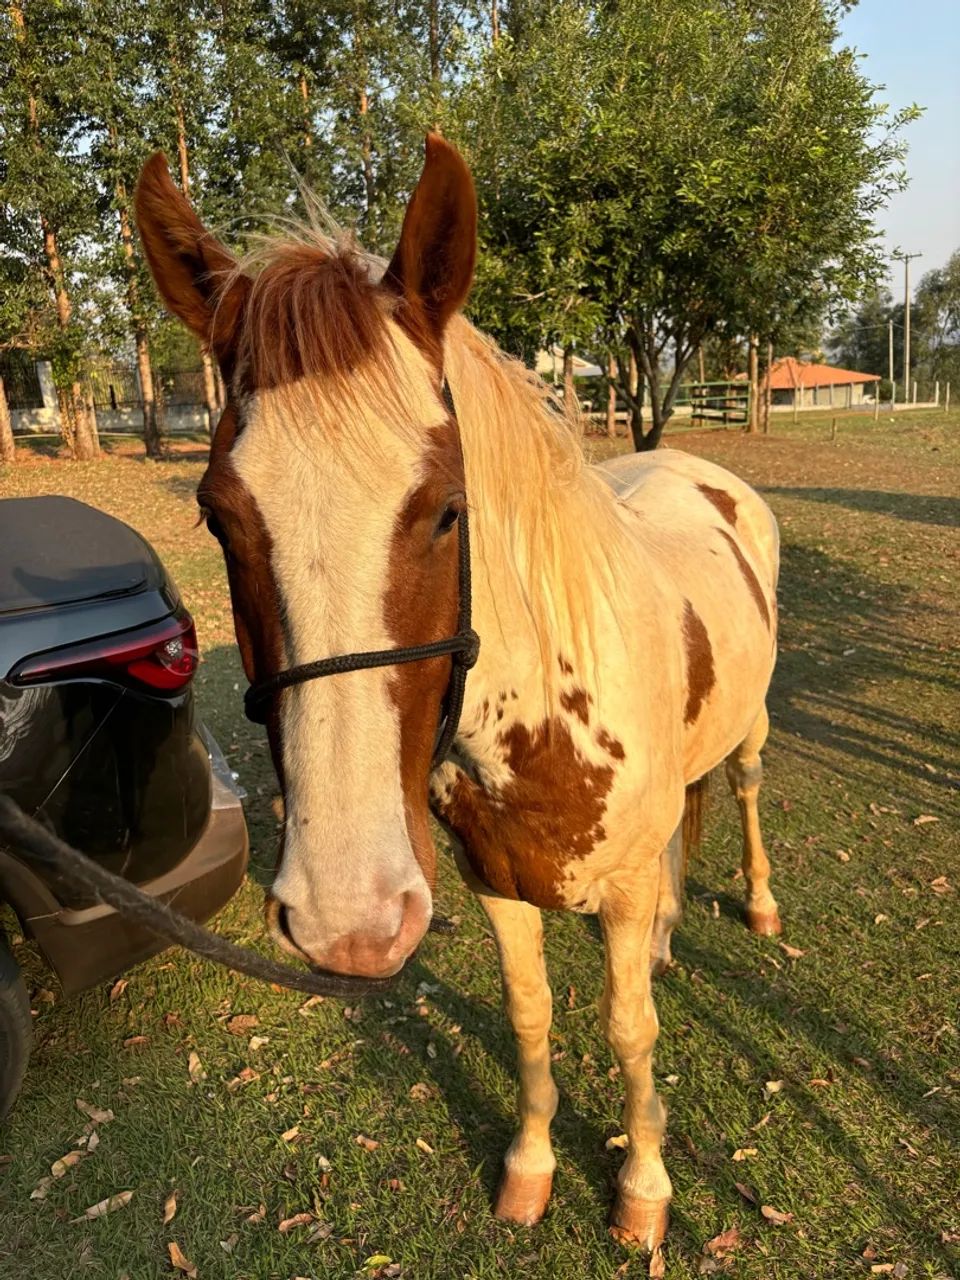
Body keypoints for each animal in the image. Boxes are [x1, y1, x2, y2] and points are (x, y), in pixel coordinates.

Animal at [134, 134, 781, 1252]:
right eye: (218, 515)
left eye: (446, 509)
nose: (347, 920)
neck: (552, 720)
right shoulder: (496, 886)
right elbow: (531, 1017)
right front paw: (530, 1167)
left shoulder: (610, 897)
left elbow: (628, 1029)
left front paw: (644, 1187)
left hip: (751, 733)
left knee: (738, 791)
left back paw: (762, 901)